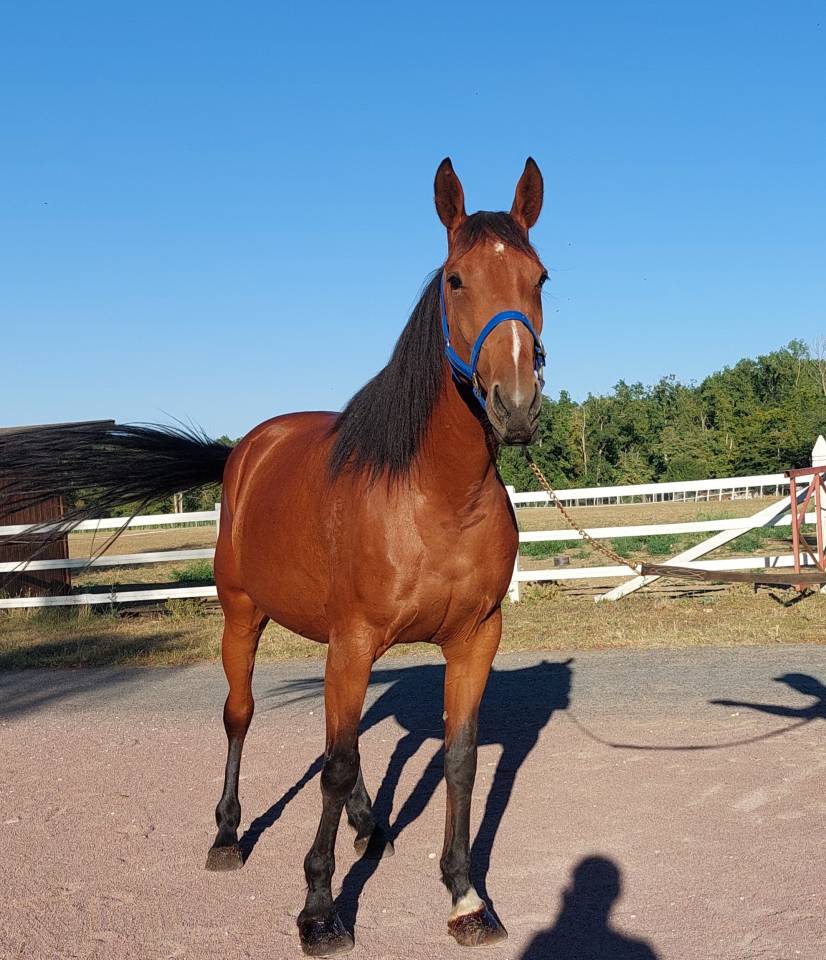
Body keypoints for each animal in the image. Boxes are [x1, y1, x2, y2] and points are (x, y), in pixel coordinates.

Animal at [1, 157, 549, 956]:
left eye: (540, 277)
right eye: (455, 279)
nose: (515, 405)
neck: (436, 494)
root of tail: (246, 451)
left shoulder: (474, 639)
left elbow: (456, 760)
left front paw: (464, 895)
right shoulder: (353, 640)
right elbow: (335, 765)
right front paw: (320, 907)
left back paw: (369, 826)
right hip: (243, 617)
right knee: (242, 716)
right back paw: (230, 836)